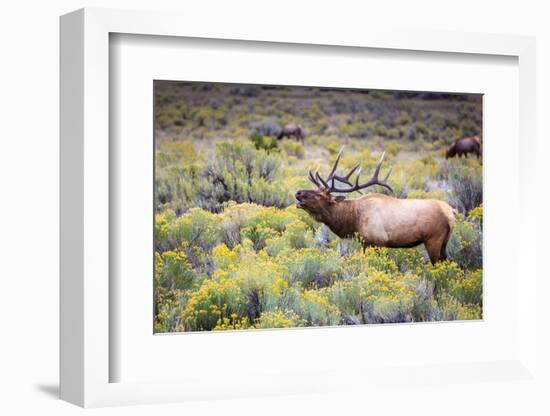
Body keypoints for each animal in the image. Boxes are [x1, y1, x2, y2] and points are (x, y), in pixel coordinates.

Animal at [298, 150, 458, 264]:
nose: (298, 192)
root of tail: (451, 212)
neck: (353, 220)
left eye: (319, 195)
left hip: (433, 240)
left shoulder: (376, 241)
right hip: (444, 242)